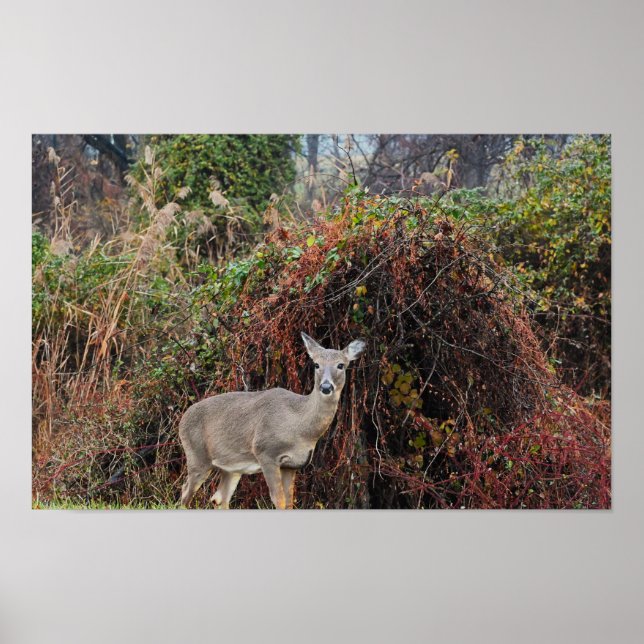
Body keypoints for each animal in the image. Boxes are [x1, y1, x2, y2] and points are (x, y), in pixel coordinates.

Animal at [178, 332, 366, 509]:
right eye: (316, 364)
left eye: (341, 365)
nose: (326, 387)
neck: (300, 427)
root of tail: (182, 420)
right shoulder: (265, 452)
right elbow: (279, 500)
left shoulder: (292, 465)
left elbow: (289, 502)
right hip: (197, 456)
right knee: (185, 493)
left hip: (231, 467)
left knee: (219, 498)